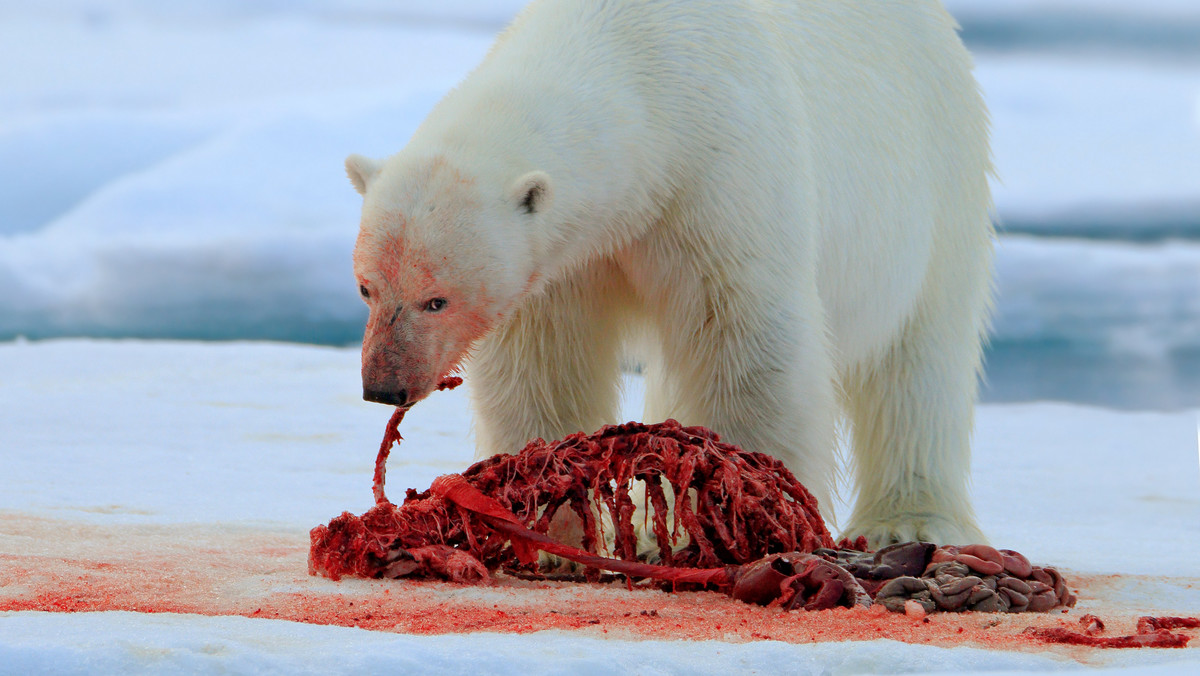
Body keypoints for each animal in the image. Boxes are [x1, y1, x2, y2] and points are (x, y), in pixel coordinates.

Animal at [345, 0, 993, 547]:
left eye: (437, 300)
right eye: (366, 288)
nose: (384, 386)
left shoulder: (717, 180)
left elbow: (745, 343)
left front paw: (745, 510)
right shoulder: (567, 259)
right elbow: (543, 361)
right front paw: (557, 532)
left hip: (939, 171)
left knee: (920, 357)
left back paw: (908, 523)